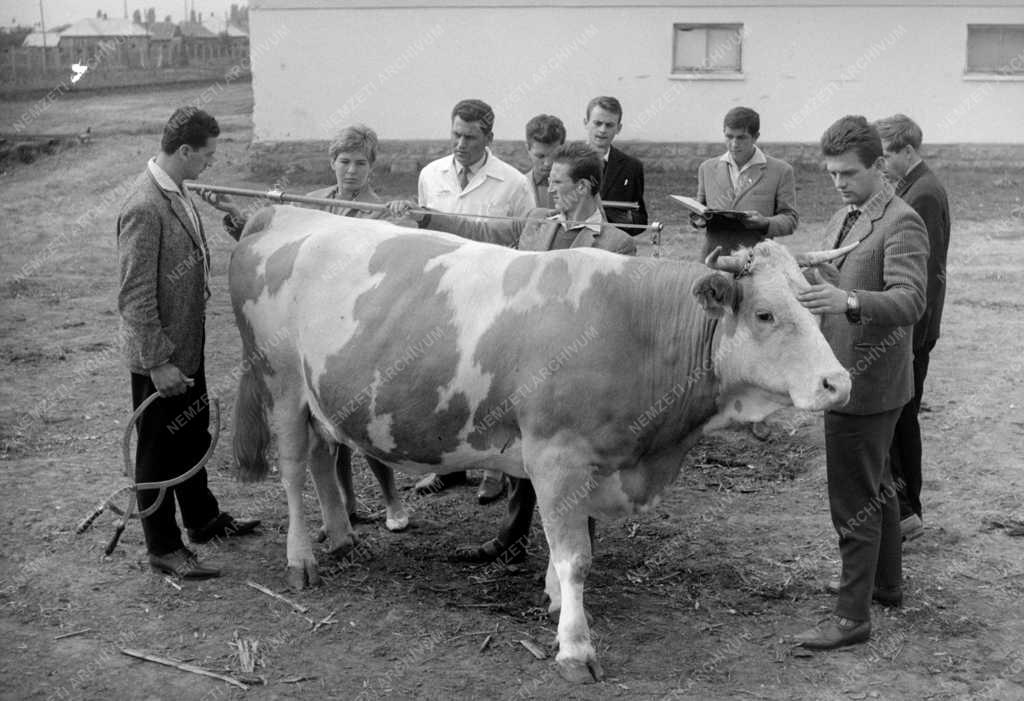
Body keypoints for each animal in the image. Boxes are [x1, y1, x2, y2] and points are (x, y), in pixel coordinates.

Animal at [228, 203, 851, 683]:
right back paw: (302, 559)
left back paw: (340, 537)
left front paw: (551, 598)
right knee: (292, 470)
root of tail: (286, 213)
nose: (837, 382)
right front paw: (575, 648)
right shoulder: (557, 455)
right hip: (281, 388)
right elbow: (575, 556)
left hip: (319, 400)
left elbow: (566, 547)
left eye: (813, 305)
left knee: (321, 458)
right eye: (765, 314)